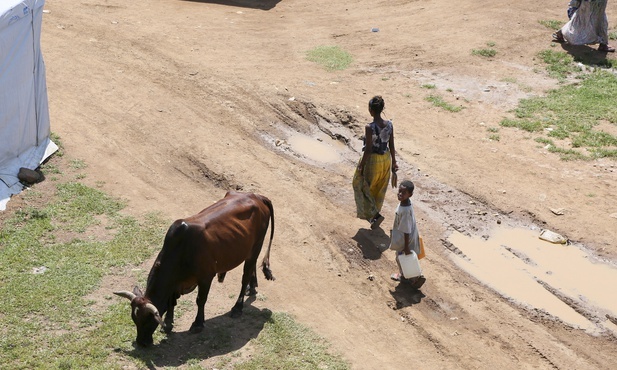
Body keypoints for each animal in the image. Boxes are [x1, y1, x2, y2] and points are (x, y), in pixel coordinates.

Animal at [113, 192, 276, 346]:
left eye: (148, 320)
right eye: (134, 319)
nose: (141, 342)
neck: (181, 250)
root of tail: (257, 196)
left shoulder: (206, 277)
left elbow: (200, 300)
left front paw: (197, 324)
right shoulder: (175, 283)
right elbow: (171, 302)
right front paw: (168, 324)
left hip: (256, 246)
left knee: (245, 277)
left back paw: (238, 307)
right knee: (252, 268)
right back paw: (252, 287)